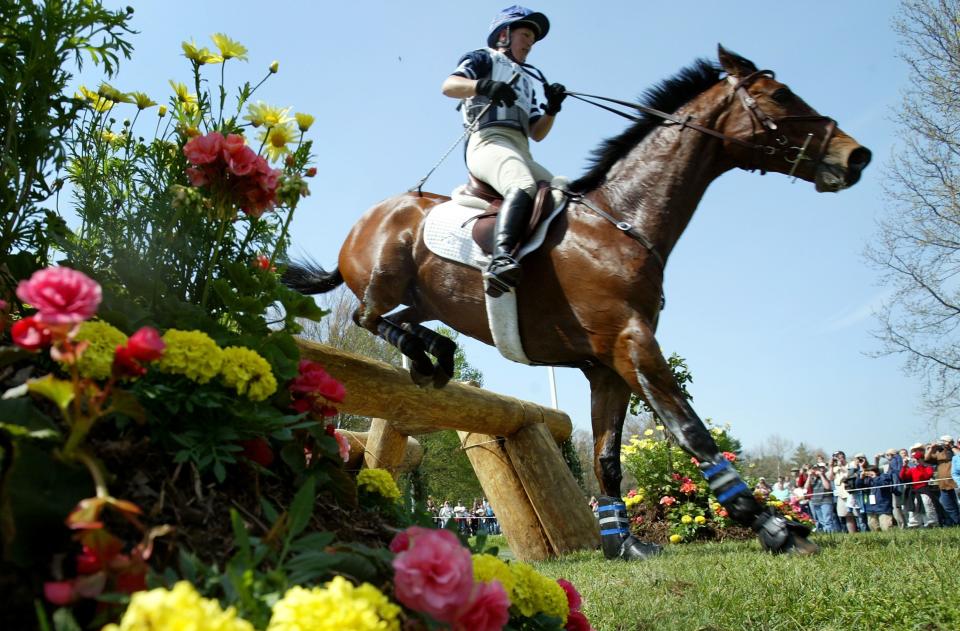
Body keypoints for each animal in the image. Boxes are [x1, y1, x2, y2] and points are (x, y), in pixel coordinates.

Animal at [284, 47, 872, 556]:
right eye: (780, 96)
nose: (856, 155)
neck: (622, 221)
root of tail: (367, 219)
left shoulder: (606, 365)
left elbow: (606, 458)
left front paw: (624, 545)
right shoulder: (631, 344)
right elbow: (691, 432)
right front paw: (775, 528)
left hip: (429, 299)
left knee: (397, 319)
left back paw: (434, 357)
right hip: (384, 274)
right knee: (366, 315)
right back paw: (427, 358)